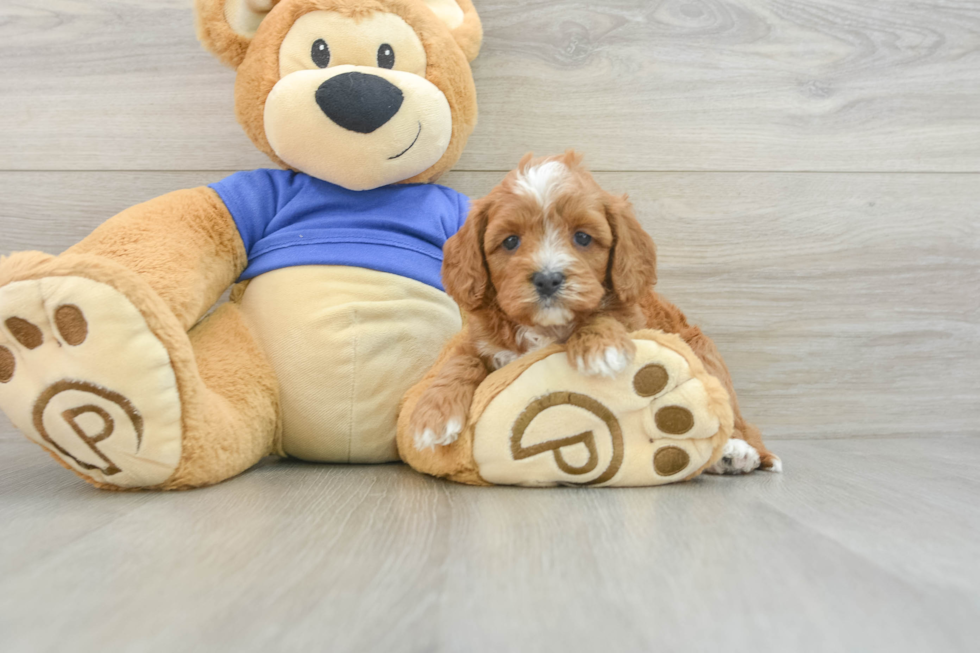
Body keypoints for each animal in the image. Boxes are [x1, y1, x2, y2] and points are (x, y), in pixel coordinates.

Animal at [410, 150, 776, 472]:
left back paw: (736, 452)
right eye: (511, 241)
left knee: (736, 420)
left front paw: (602, 349)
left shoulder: (630, 317)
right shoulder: (479, 338)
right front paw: (433, 415)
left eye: (583, 238)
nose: (547, 279)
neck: (546, 328)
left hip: (705, 355)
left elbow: (603, 314)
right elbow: (461, 360)